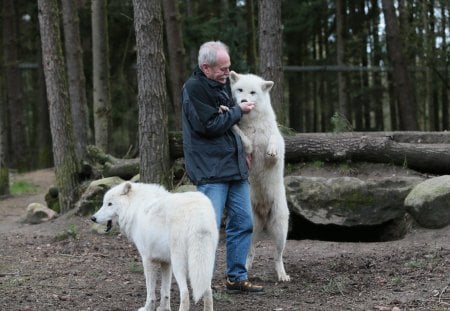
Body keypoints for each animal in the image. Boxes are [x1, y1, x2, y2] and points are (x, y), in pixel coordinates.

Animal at [91, 183, 218, 311]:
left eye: (109, 204)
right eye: (104, 203)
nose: (93, 218)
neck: (135, 207)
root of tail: (198, 215)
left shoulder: (147, 260)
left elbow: (150, 292)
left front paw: (147, 308)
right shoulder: (166, 262)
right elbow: (165, 291)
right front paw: (164, 308)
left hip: (179, 266)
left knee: (185, 293)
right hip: (204, 266)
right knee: (208, 291)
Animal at [230, 70, 290, 282]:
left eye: (253, 92)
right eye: (239, 90)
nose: (243, 101)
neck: (254, 124)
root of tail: (264, 216)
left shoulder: (274, 151)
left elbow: (274, 141)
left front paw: (271, 149)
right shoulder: (247, 149)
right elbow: (242, 137)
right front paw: (226, 113)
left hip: (280, 232)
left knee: (277, 256)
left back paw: (282, 275)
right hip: (251, 230)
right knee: (251, 253)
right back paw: (245, 272)